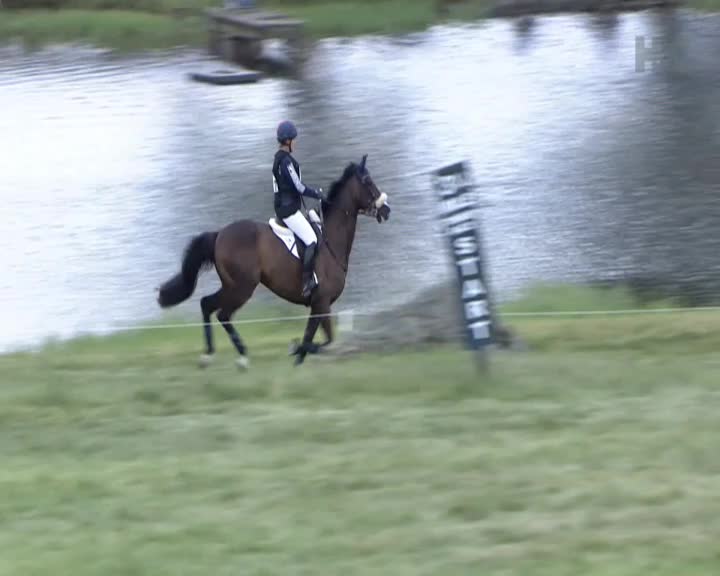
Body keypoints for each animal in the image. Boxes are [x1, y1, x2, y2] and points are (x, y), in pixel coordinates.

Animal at [156, 154, 391, 367]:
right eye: (368, 181)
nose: (387, 210)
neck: (330, 240)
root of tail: (219, 235)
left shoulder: (319, 305)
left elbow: (315, 338)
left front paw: (298, 357)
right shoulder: (321, 302)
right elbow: (319, 340)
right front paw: (296, 349)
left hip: (232, 286)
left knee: (207, 304)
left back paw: (209, 355)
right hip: (242, 287)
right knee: (222, 313)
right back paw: (240, 357)